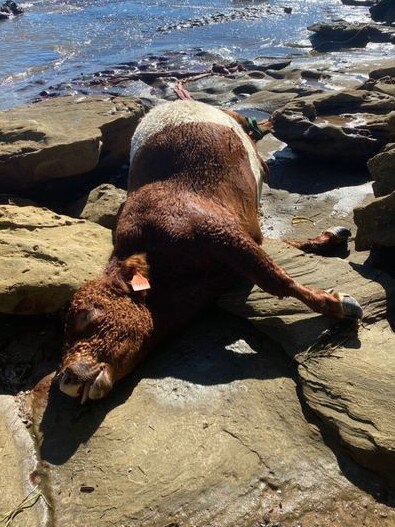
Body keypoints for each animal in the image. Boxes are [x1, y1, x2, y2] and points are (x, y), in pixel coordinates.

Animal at [57, 100, 364, 404]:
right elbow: (275, 253)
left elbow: (276, 279)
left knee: (253, 128)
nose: (66, 378)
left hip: (233, 120)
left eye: (88, 316)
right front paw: (328, 241)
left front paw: (340, 304)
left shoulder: (218, 231)